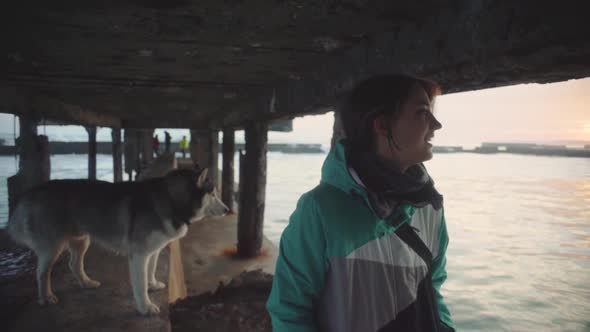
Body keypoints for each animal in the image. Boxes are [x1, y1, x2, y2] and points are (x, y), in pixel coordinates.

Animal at [6, 169, 229, 314]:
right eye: (213, 194)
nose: (228, 209)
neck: (171, 199)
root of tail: (32, 191)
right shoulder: (139, 254)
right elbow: (139, 283)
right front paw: (145, 307)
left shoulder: (152, 251)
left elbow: (151, 271)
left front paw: (153, 285)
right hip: (53, 247)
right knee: (42, 272)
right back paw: (46, 297)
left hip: (81, 241)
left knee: (74, 264)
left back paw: (86, 283)